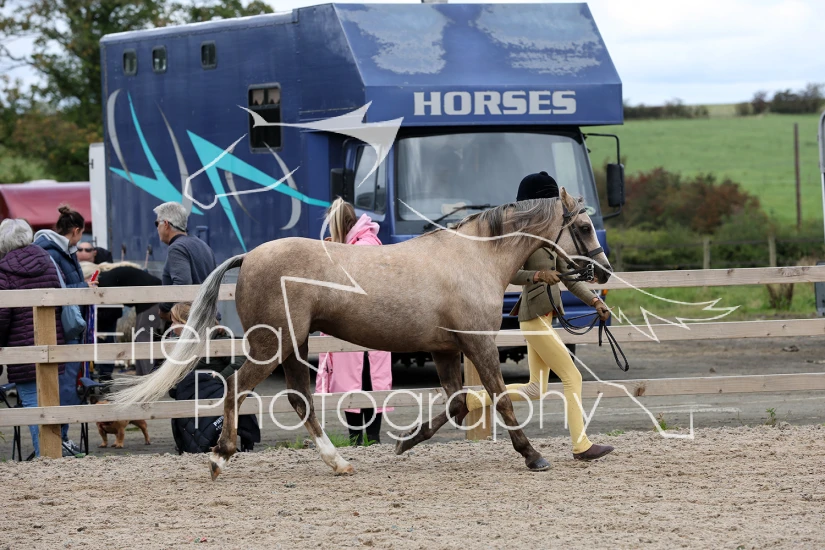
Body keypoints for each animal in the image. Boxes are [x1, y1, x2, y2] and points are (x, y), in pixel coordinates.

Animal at [112, 188, 611, 478]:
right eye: (584, 226)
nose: (603, 272)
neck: (474, 257)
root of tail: (249, 257)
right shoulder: (477, 344)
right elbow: (501, 399)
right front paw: (533, 455)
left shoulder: (446, 349)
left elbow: (457, 404)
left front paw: (405, 442)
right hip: (271, 344)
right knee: (236, 388)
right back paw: (220, 456)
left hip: (294, 346)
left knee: (299, 398)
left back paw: (338, 462)